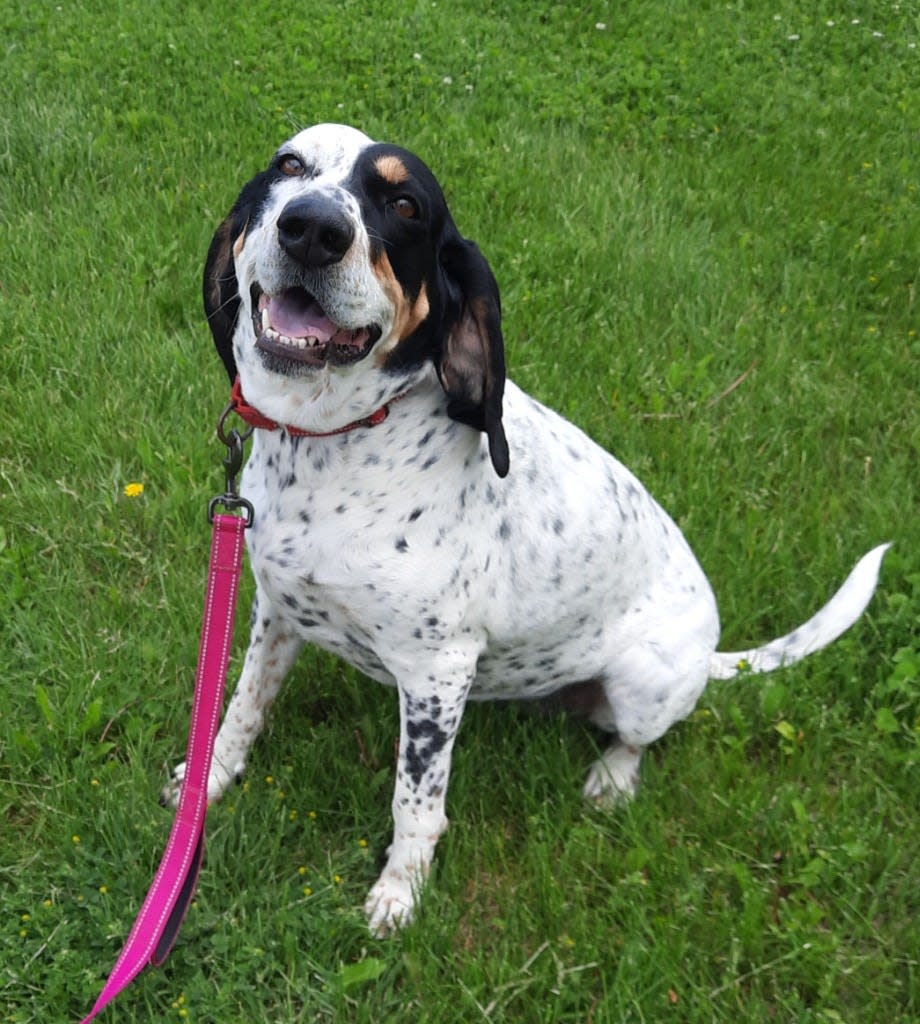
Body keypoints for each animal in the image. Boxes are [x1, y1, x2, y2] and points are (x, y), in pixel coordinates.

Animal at [162, 121, 881, 937]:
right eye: (290, 165)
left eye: (405, 205)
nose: (313, 227)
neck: (330, 448)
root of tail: (711, 653)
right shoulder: (276, 612)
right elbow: (238, 711)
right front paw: (206, 790)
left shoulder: (437, 674)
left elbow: (416, 802)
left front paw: (400, 894)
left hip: (642, 682)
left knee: (636, 740)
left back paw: (611, 779)